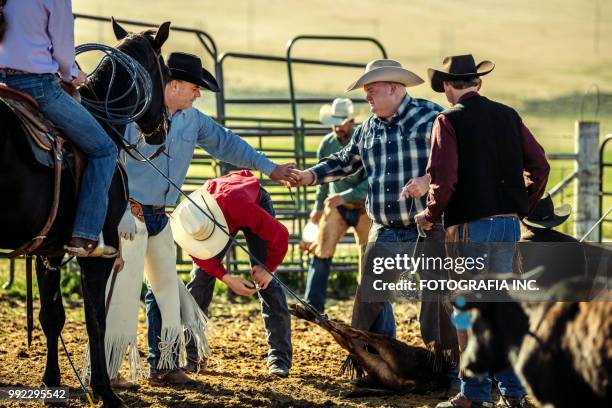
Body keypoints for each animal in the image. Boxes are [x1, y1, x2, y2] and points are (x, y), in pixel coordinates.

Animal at [0, 19, 170, 408]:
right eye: (166, 73)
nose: (161, 130)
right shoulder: (97, 254)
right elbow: (96, 319)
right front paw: (104, 390)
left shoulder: (47, 251)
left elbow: (52, 316)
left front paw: (51, 382)